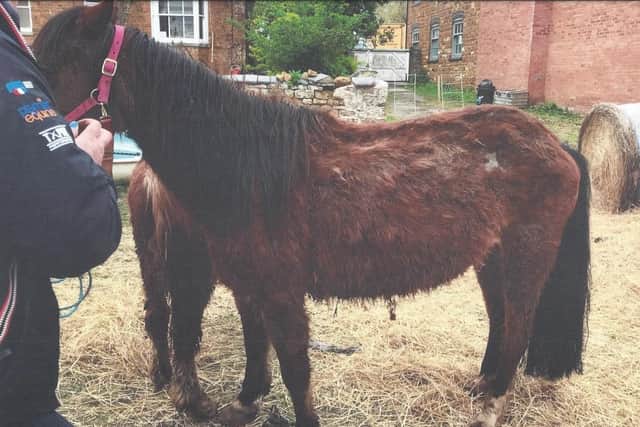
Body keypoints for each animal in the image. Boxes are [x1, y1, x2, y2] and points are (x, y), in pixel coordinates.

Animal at [33, 3, 591, 426]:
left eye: (55, 61)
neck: (244, 165)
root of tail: (554, 145)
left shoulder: (282, 291)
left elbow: (294, 368)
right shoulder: (248, 285)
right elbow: (255, 347)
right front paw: (244, 403)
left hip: (524, 257)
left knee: (517, 328)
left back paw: (492, 406)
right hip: (491, 258)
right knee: (501, 321)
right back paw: (482, 385)